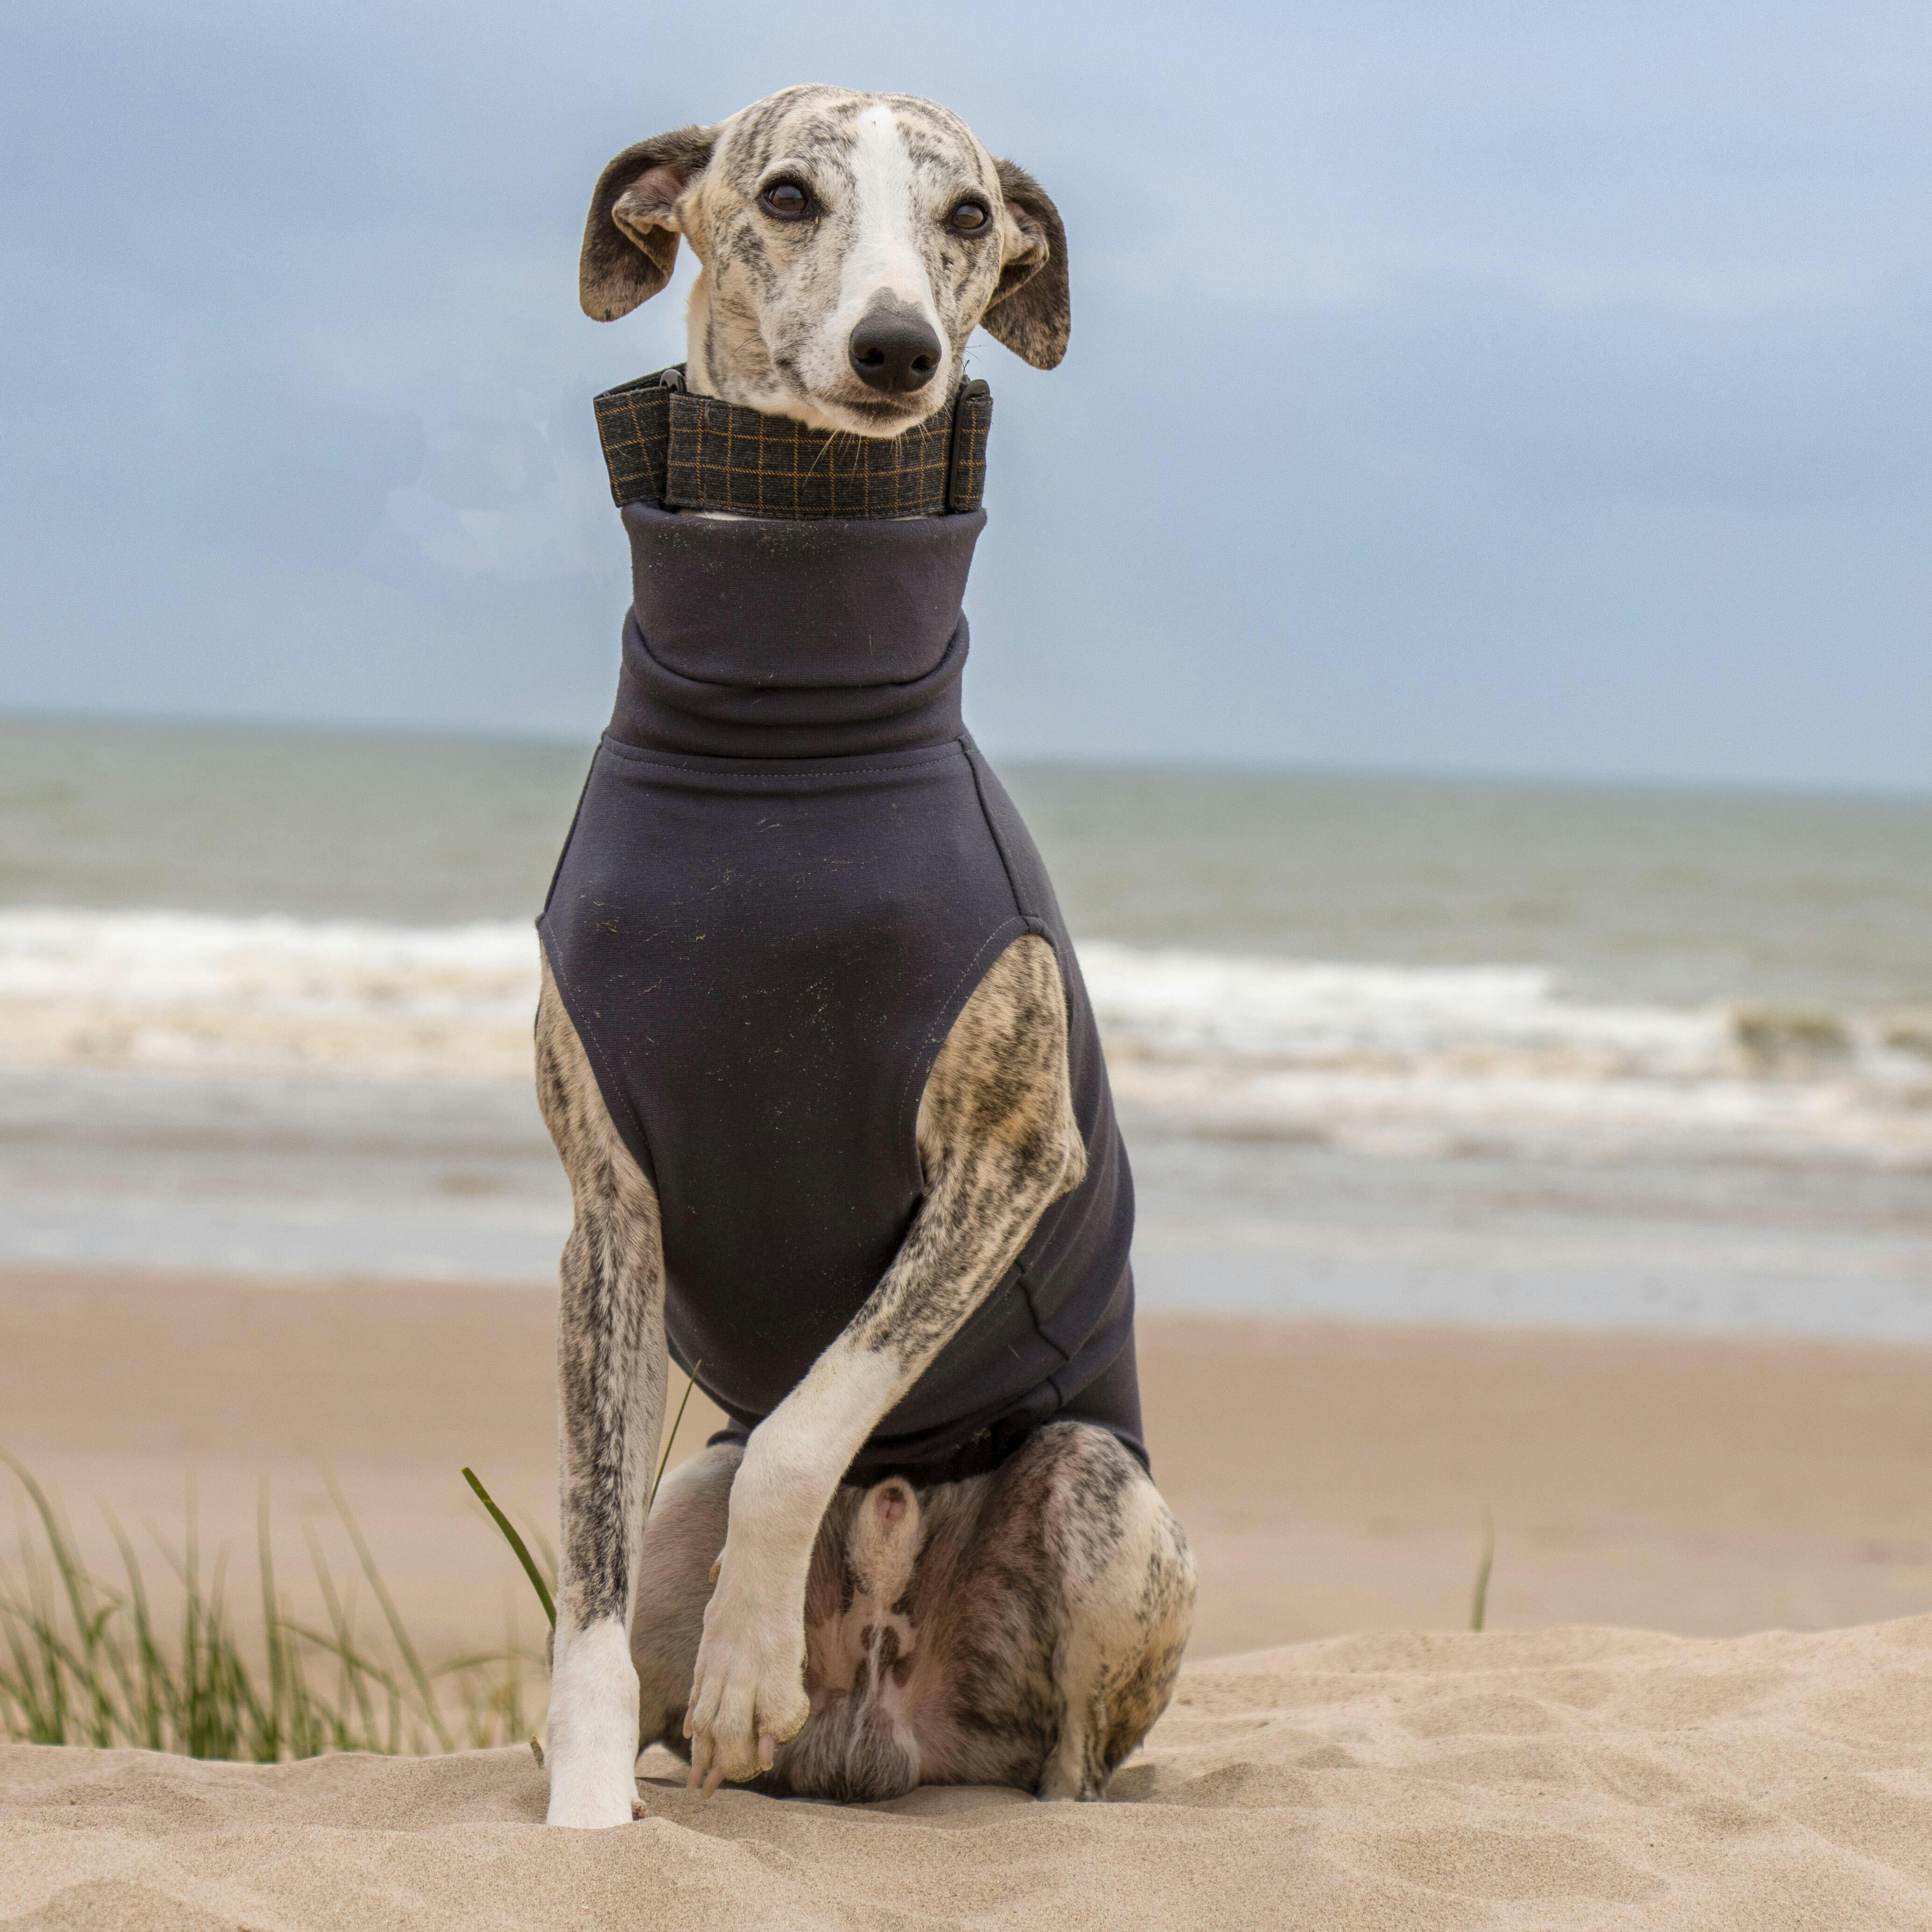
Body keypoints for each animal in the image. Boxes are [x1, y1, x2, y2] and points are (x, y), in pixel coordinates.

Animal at [537, 84, 1196, 1829]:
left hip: (1104, 1499)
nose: (897, 349)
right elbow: (585, 1578)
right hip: (683, 1489)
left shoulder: (1003, 1160)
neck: (781, 733)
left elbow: (810, 1424)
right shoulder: (605, 1211)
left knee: (1073, 1753)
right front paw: (582, 1824)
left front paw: (748, 1668)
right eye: (783, 194)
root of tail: (884, 1736)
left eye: (969, 218)